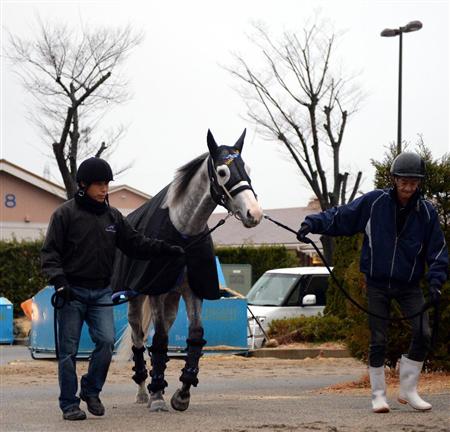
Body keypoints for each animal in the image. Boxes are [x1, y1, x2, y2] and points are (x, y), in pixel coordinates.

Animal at [115, 131, 264, 412]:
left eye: (248, 169)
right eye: (222, 171)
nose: (255, 213)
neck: (183, 233)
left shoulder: (193, 290)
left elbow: (194, 336)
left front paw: (181, 393)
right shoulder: (157, 291)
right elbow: (160, 340)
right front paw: (157, 396)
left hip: (172, 299)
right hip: (137, 299)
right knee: (139, 338)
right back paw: (143, 391)